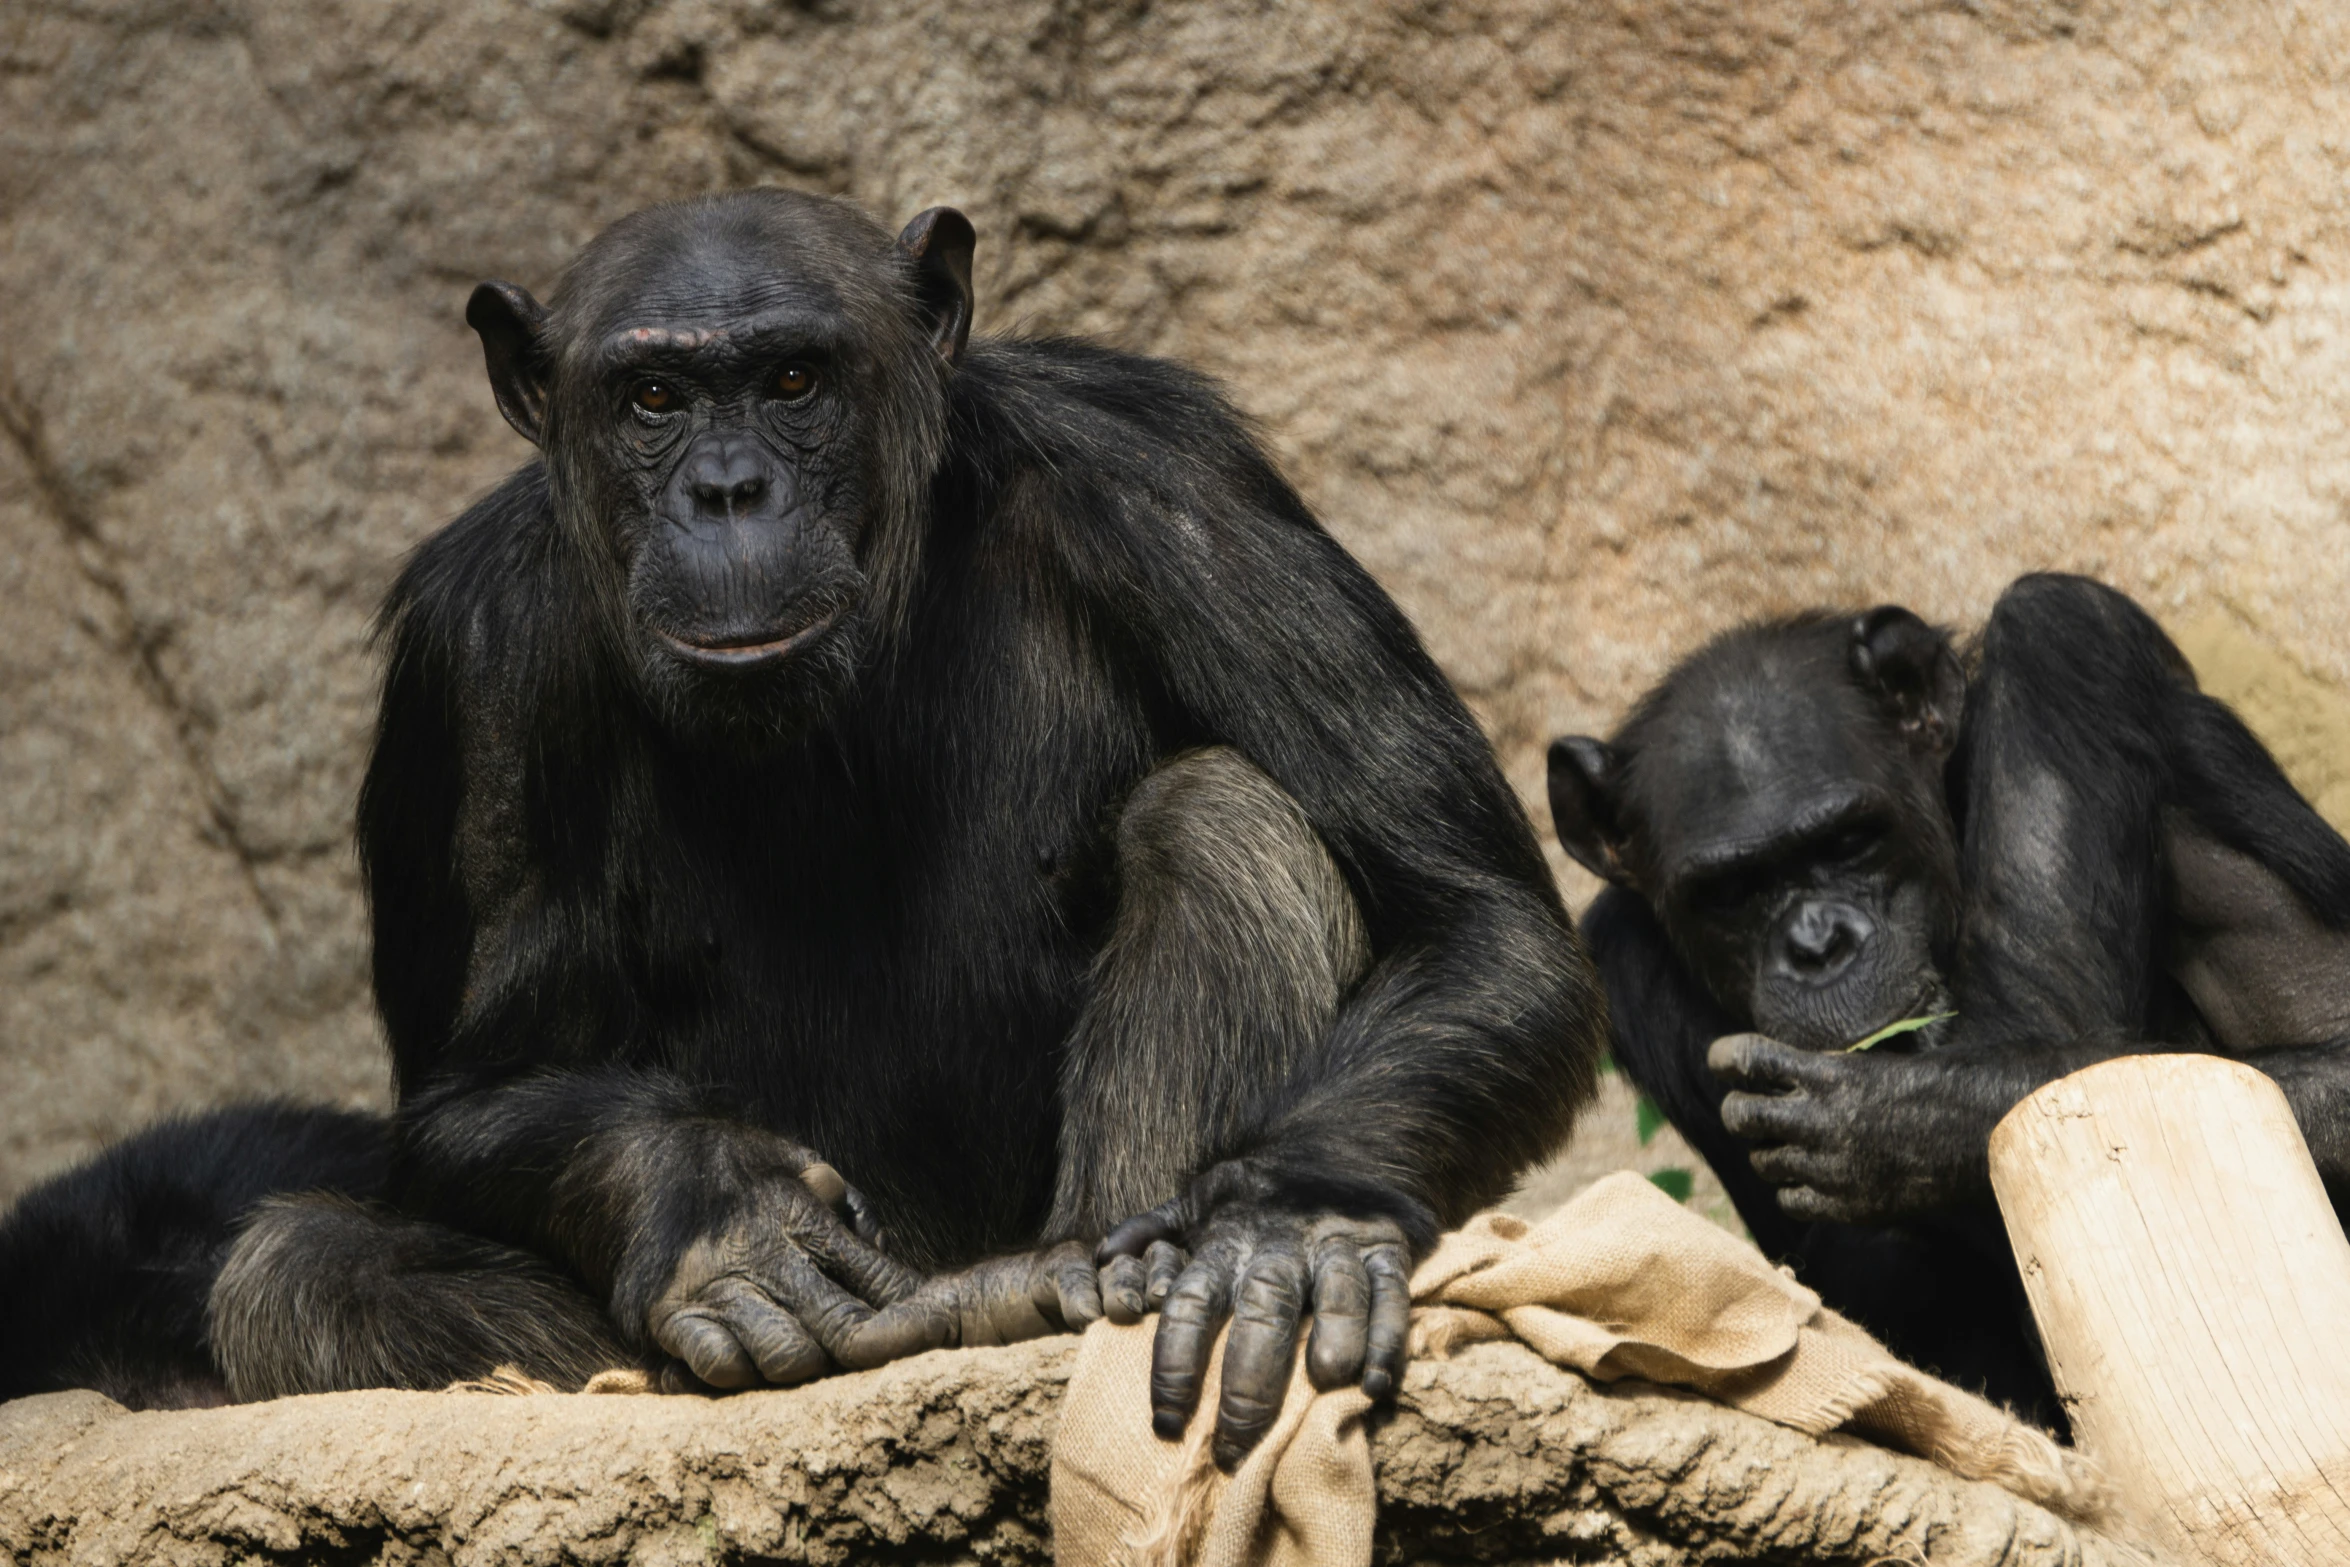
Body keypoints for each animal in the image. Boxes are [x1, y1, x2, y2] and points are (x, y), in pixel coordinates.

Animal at [0, 192, 1607, 1456]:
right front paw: (722, 1210)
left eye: (791, 377)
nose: (727, 489)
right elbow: (478, 1089)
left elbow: (1476, 919)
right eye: (652, 400)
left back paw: (1062, 1292)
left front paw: (1285, 1224)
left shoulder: (1171, 485)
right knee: (293, 1267)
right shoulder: (477, 657)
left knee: (1228, 820)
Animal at [1541, 570, 2350, 1428]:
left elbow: (2077, 1058)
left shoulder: (2061, 647)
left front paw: (1895, 1117)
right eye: (1731, 891)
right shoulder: (1620, 959)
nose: (1817, 943)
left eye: (1849, 840)